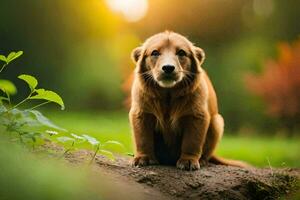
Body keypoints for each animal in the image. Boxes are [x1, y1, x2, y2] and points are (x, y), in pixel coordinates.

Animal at [127, 31, 247, 170]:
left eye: (181, 53)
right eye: (155, 53)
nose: (168, 68)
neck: (168, 94)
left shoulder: (196, 115)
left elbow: (191, 142)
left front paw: (188, 161)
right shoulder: (142, 113)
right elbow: (143, 139)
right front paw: (143, 158)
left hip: (217, 122)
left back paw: (202, 161)